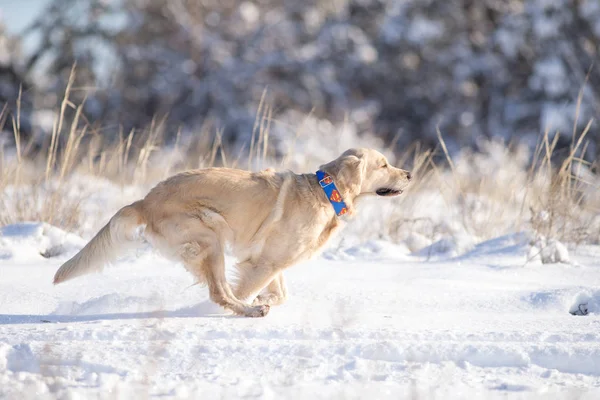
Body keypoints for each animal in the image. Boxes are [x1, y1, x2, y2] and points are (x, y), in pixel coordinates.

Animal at [54, 148, 410, 318]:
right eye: (383, 164)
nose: (409, 173)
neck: (326, 192)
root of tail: (145, 200)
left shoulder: (271, 261)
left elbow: (280, 292)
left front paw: (266, 298)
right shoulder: (264, 264)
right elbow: (246, 290)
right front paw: (250, 303)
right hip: (211, 233)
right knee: (220, 292)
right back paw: (249, 312)